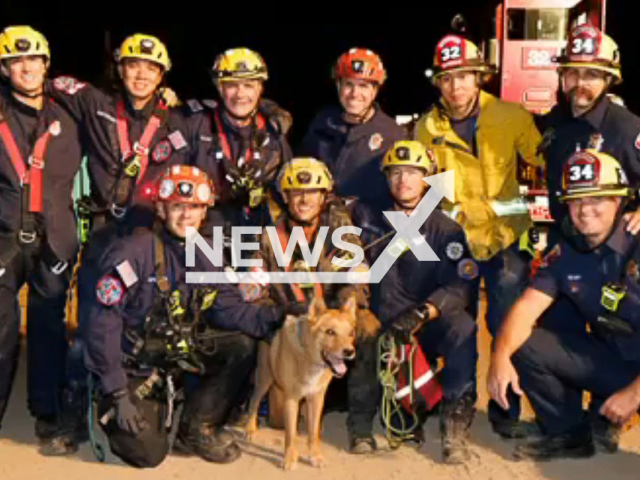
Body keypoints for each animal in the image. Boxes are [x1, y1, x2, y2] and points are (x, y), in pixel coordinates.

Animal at [245, 294, 358, 470]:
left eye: (351, 333)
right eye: (330, 332)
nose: (349, 352)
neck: (308, 357)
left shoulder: (316, 398)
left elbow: (313, 432)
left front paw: (315, 455)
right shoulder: (291, 399)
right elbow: (291, 434)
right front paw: (290, 458)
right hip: (264, 379)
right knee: (253, 402)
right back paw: (250, 429)